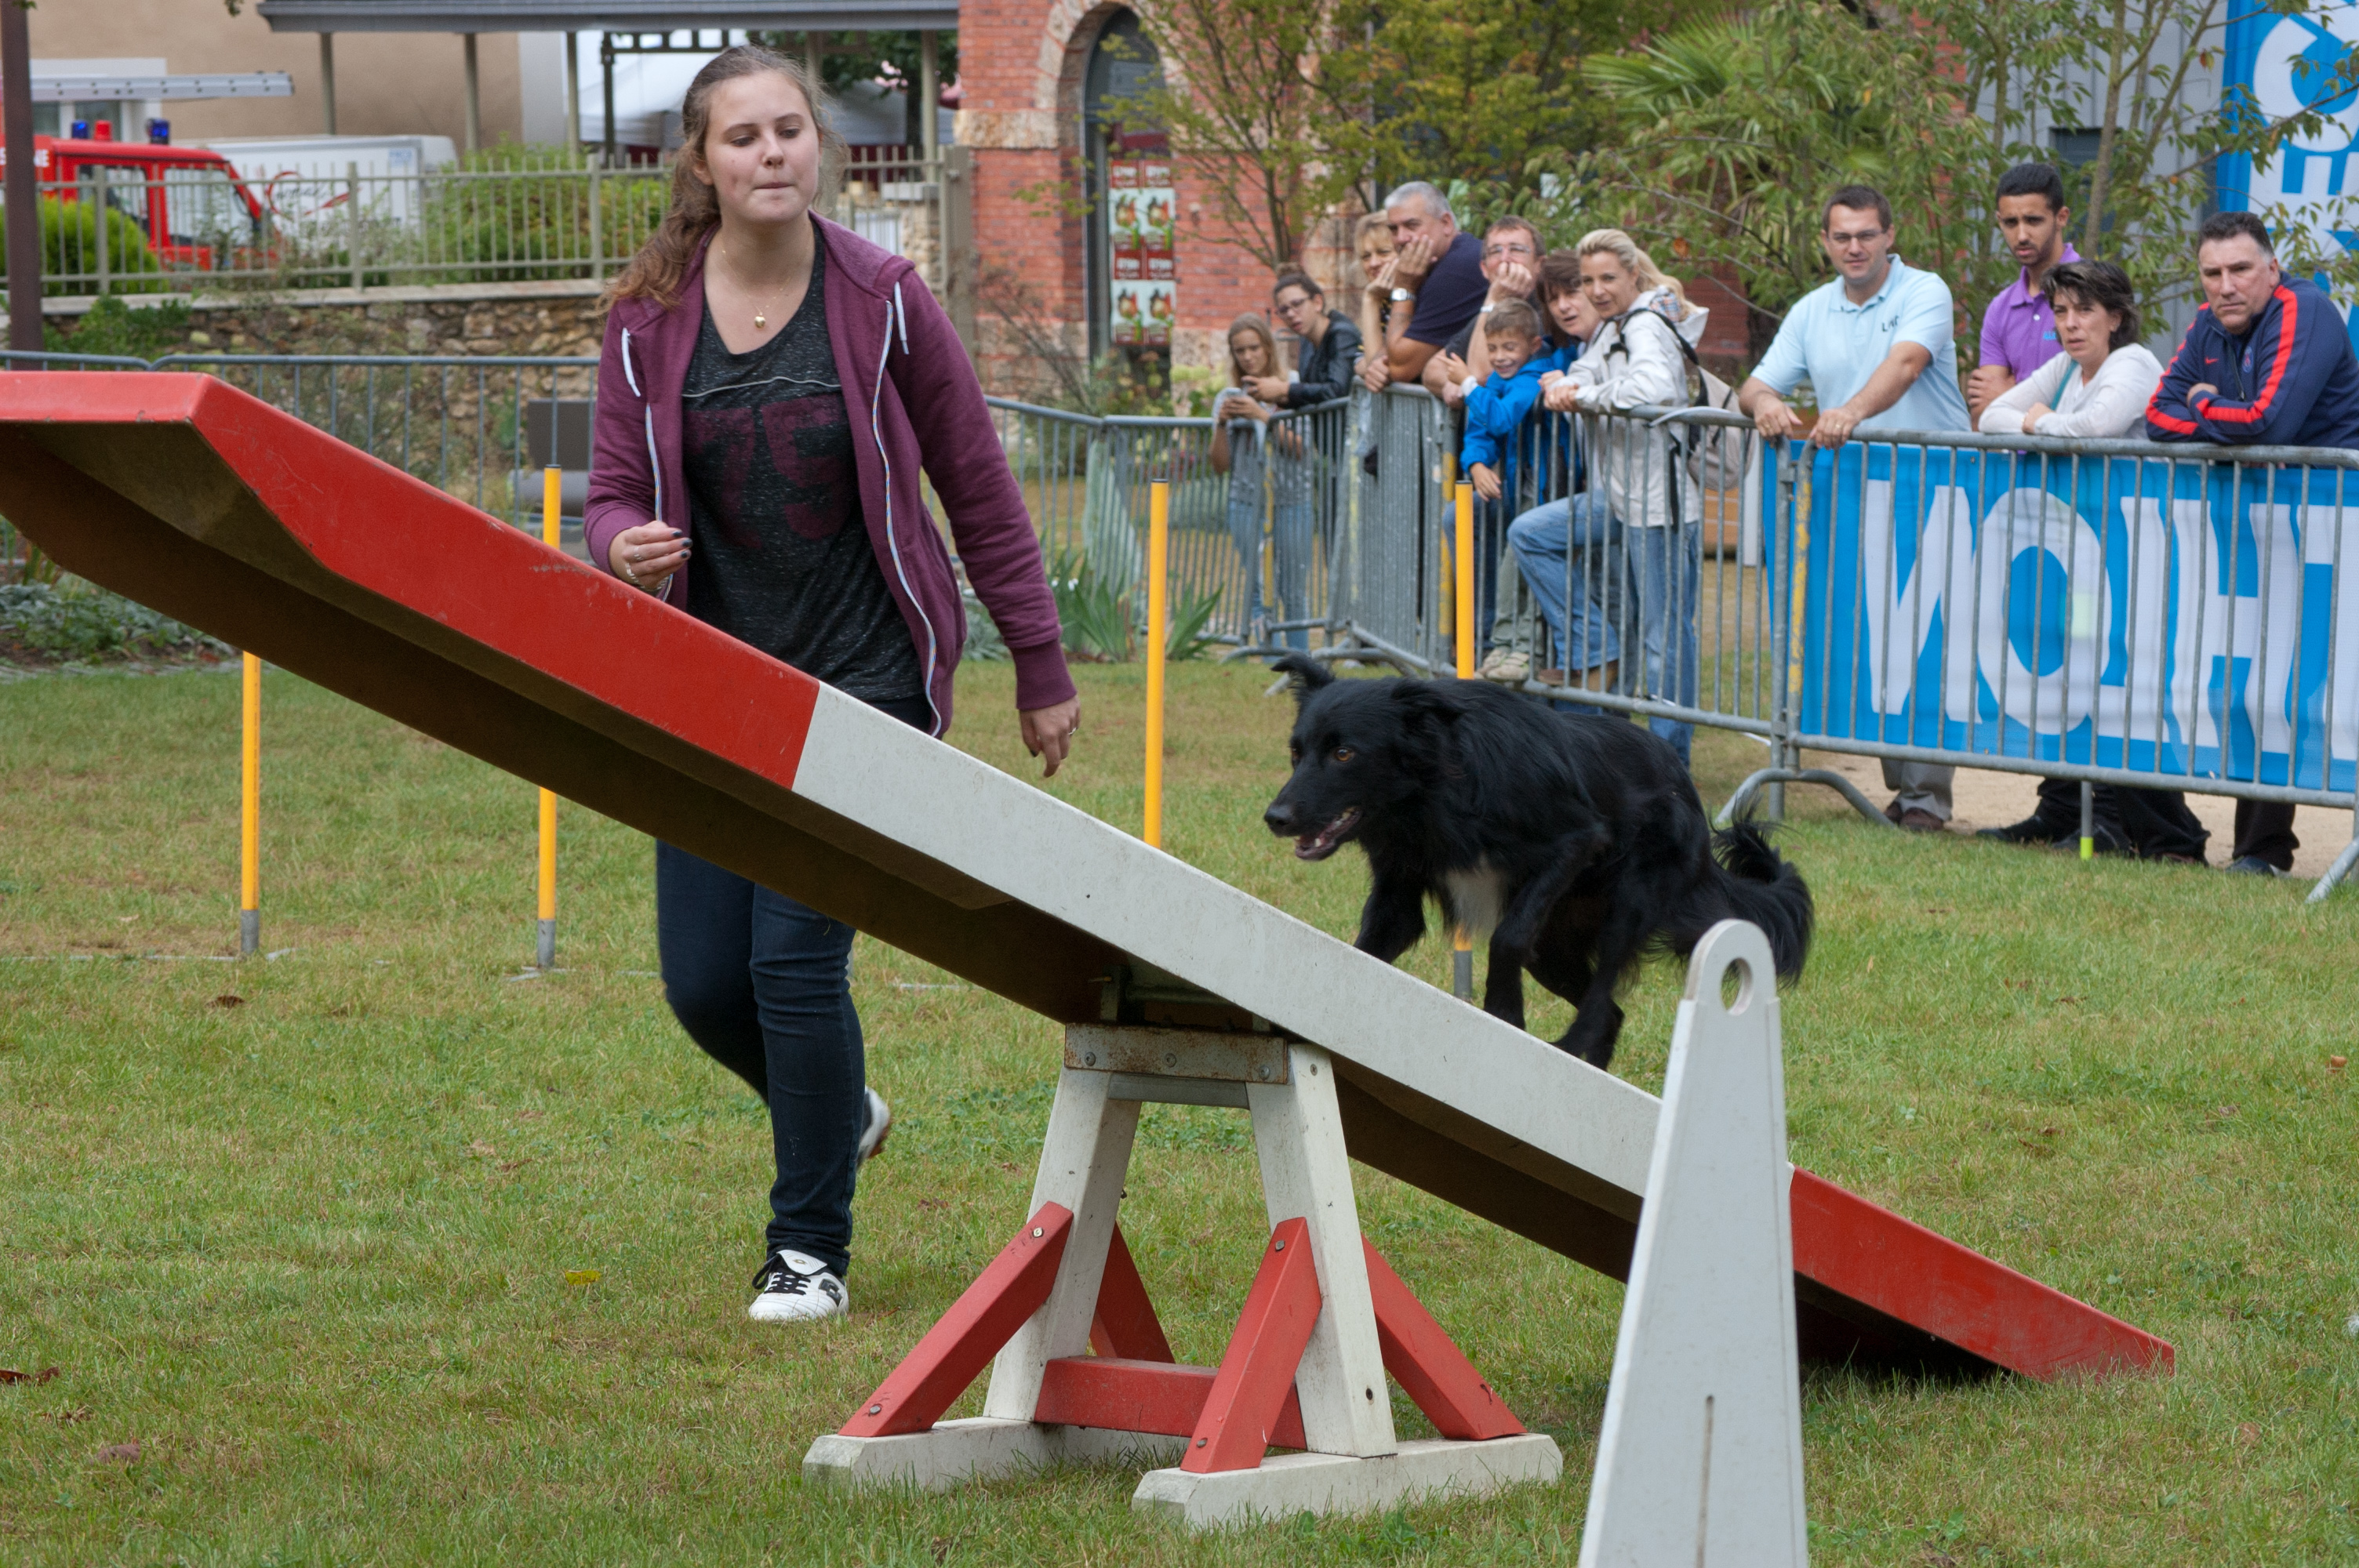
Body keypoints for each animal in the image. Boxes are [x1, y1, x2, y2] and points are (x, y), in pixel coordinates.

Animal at [1261, 656, 1811, 1070]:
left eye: (1345, 754)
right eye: (1296, 752)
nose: (1275, 818)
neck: (1437, 791)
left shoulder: (1574, 841)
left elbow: (1506, 937)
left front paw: (1505, 1013)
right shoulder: (1399, 884)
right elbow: (1365, 951)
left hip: (1627, 901)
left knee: (1601, 999)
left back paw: (1566, 1049)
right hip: (1553, 948)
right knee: (1611, 1013)